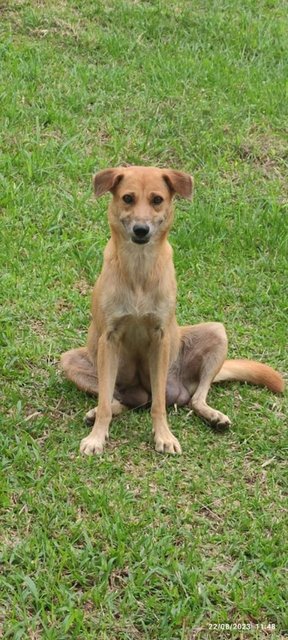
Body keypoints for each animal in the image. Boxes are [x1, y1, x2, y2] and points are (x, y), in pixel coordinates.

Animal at [60, 165, 284, 456]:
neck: (139, 270)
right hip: (72, 360)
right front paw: (97, 437)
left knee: (191, 399)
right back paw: (96, 411)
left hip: (216, 333)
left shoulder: (161, 338)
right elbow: (107, 402)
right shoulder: (109, 339)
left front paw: (163, 436)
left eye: (157, 199)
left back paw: (213, 416)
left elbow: (158, 406)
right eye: (128, 198)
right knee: (122, 399)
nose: (141, 230)